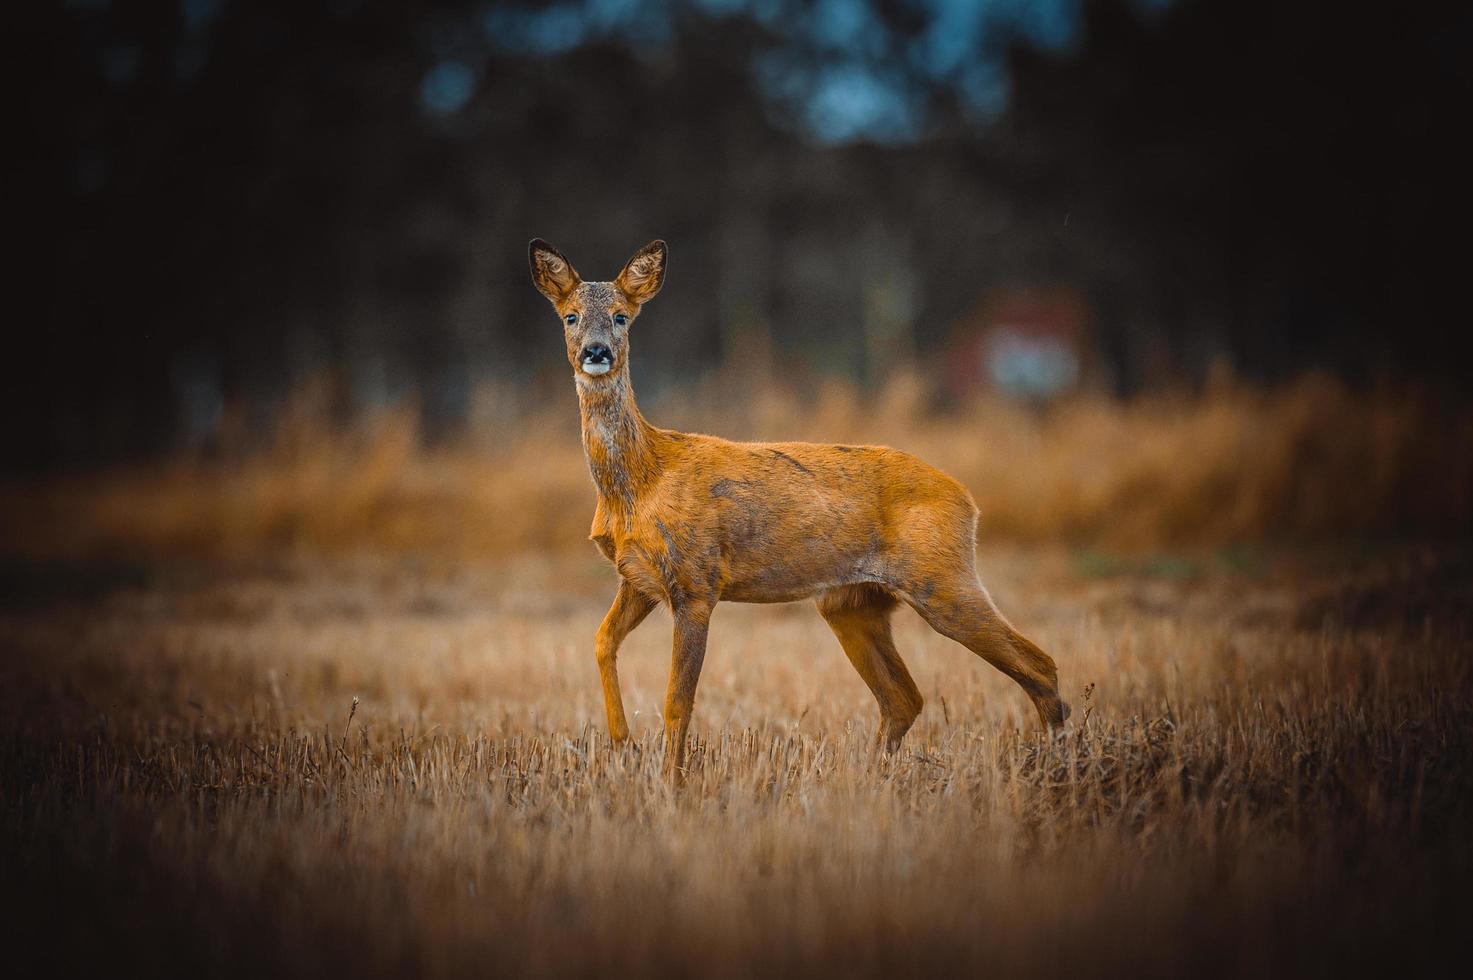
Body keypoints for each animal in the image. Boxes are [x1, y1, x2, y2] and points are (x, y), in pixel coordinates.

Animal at [530, 238, 1072, 772]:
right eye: (570, 316)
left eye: (622, 316)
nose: (596, 352)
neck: (640, 480)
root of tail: (968, 500)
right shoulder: (638, 578)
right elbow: (601, 641)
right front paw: (623, 744)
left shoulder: (697, 580)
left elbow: (677, 702)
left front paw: (671, 781)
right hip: (852, 603)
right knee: (905, 697)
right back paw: (870, 775)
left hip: (942, 577)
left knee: (1039, 665)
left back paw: (1059, 765)